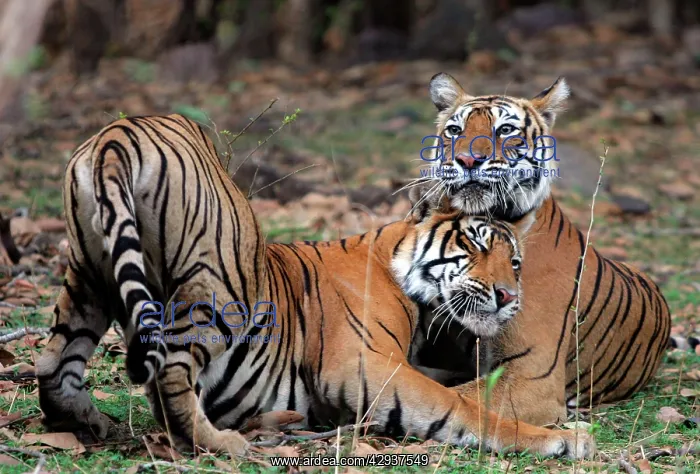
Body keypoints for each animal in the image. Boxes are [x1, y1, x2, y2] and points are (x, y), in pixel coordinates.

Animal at [35, 114, 594, 459]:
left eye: (515, 262)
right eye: (475, 245)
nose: (508, 296)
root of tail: (121, 129)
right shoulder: (369, 369)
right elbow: (464, 407)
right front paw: (564, 440)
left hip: (87, 277)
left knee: (54, 363)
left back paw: (85, 424)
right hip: (222, 285)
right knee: (170, 369)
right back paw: (220, 444)